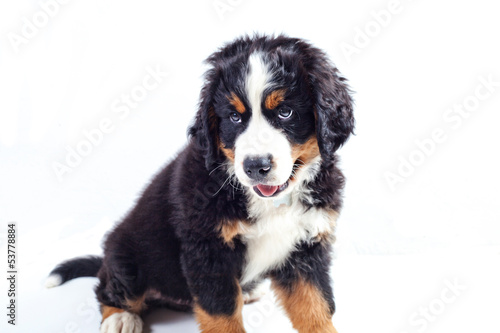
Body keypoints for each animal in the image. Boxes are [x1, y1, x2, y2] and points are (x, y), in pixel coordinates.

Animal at [46, 34, 352, 332]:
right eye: (234, 117)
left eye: (285, 112)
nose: (256, 166)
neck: (270, 203)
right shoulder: (207, 249)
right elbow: (222, 314)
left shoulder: (306, 245)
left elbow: (315, 306)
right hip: (127, 254)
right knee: (109, 288)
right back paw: (120, 318)